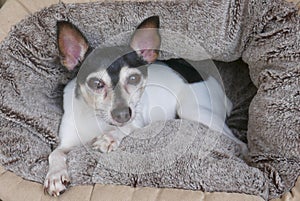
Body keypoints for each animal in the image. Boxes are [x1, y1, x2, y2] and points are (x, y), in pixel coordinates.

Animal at [44, 15, 246, 196]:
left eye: (134, 79)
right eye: (96, 83)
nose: (122, 114)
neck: (98, 120)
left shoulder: (137, 121)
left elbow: (125, 128)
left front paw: (109, 137)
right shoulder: (66, 142)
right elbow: (55, 153)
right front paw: (55, 175)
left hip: (193, 111)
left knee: (239, 142)